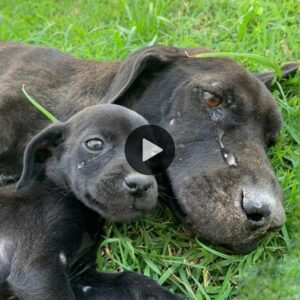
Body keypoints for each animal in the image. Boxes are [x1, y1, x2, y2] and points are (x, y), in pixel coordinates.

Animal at [0, 103, 180, 300]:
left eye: (154, 154)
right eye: (95, 144)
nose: (139, 185)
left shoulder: (81, 276)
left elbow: (131, 280)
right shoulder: (38, 268)